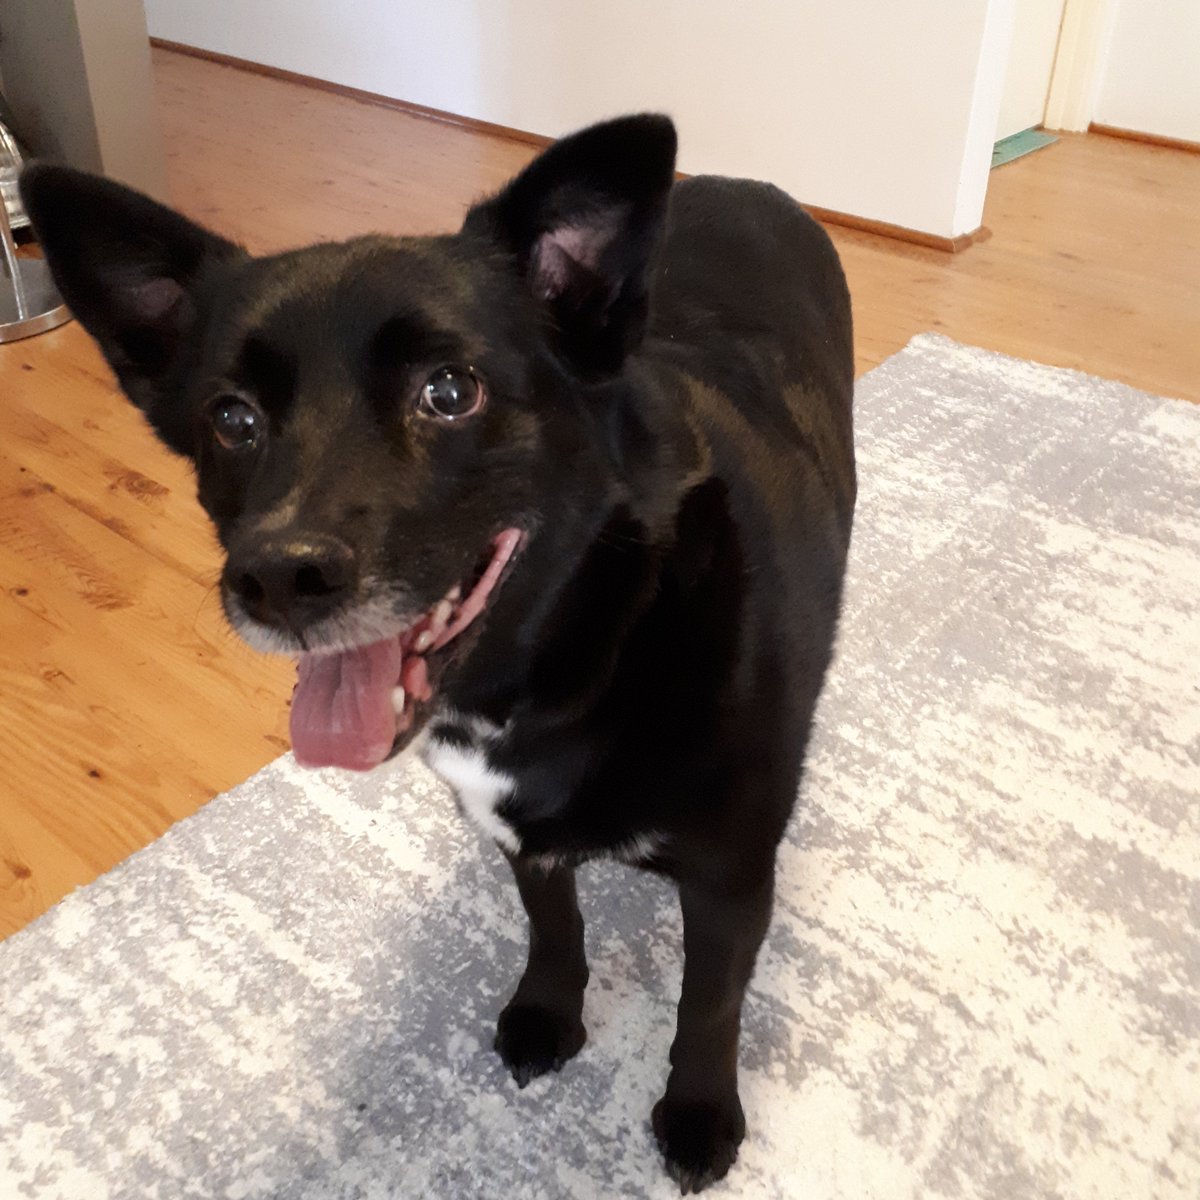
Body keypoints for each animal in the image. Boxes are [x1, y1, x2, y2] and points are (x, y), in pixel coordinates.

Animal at [25, 114, 854, 1190]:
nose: (277, 578)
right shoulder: (513, 836)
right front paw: (547, 1011)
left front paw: (699, 1112)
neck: (578, 654)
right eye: (231, 417)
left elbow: (708, 1006)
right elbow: (552, 922)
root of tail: (747, 184)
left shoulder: (729, 881)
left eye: (450, 392)